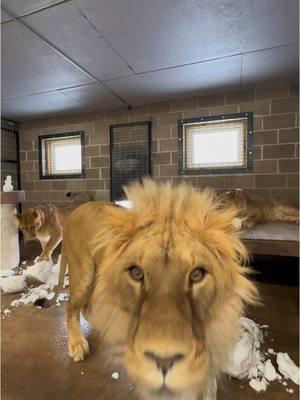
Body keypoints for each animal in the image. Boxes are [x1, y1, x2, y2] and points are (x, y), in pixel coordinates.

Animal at [48, 181, 256, 400]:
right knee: (71, 307)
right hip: (84, 273)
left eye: (196, 274)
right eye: (137, 273)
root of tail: (76, 211)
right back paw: (77, 345)